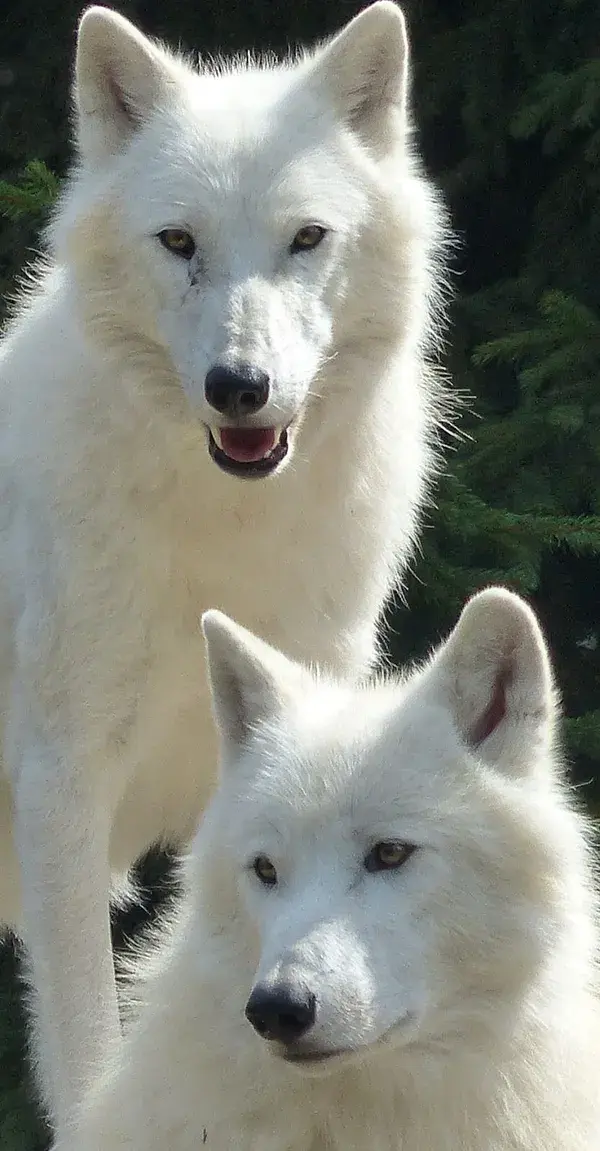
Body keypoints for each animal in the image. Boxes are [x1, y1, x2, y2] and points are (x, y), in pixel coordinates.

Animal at [0, 0, 446, 1132]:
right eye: (179, 243)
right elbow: (87, 1046)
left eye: (306, 237)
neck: (220, 534)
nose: (239, 387)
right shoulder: (63, 790)